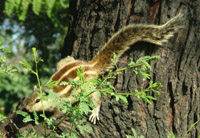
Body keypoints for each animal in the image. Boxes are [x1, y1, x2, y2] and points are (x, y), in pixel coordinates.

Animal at [23, 12, 184, 124]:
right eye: (27, 98)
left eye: (37, 100)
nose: (27, 109)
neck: (52, 94)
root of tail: (90, 65)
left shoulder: (63, 103)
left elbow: (59, 113)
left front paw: (50, 119)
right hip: (63, 64)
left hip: (87, 87)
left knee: (96, 98)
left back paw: (95, 112)